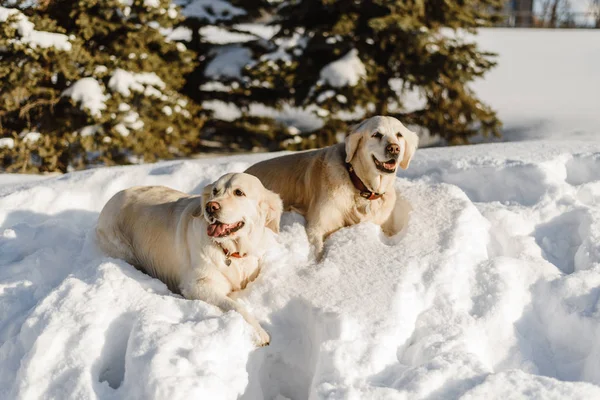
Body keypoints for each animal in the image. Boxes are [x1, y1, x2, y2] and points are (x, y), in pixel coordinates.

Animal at [96, 173, 284, 346]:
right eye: (215, 191)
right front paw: (259, 332)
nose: (210, 206)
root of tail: (113, 197)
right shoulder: (197, 286)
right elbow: (235, 305)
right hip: (123, 250)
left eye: (239, 192)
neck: (230, 251)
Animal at [245, 115, 418, 258]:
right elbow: (318, 251)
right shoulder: (317, 227)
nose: (394, 148)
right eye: (376, 134)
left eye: (399, 135)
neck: (358, 185)